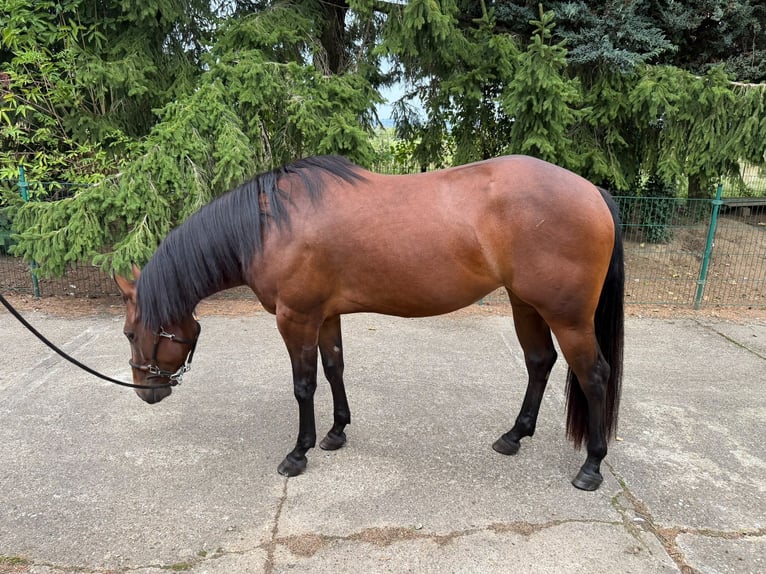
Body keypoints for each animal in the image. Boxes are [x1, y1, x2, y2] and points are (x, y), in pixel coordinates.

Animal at [115, 154, 624, 491]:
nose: (144, 392)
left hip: (568, 317)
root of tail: (592, 192)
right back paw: (513, 436)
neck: (269, 225)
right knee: (539, 362)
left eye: (128, 332)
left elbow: (303, 385)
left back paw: (591, 467)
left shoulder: (296, 318)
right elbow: (334, 368)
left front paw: (298, 452)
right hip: (526, 305)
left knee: (594, 375)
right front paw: (336, 432)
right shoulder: (325, 316)